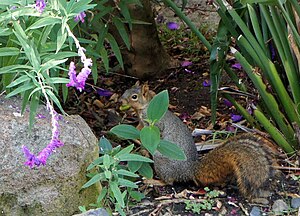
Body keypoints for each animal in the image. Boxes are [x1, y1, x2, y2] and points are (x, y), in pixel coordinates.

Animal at [119, 82, 276, 200]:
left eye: (134, 97)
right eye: (126, 90)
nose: (121, 100)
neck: (146, 106)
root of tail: (190, 171)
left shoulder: (155, 123)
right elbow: (137, 129)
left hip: (161, 161)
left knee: (169, 181)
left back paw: (153, 180)